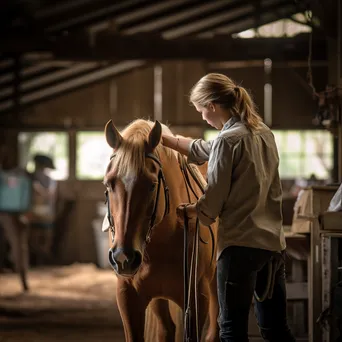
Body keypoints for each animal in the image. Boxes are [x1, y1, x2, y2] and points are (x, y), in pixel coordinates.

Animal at [102, 118, 219, 342]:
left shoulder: (196, 298)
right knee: (167, 329)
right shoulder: (128, 297)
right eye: (109, 184)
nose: (123, 257)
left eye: (151, 185)